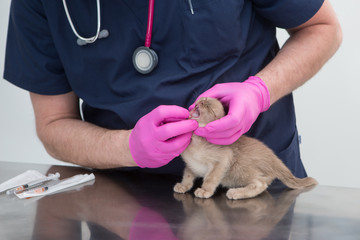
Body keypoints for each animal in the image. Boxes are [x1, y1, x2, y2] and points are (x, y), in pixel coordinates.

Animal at [174, 96, 318, 200]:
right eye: (203, 99)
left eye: (210, 108)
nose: (201, 102)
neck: (196, 142)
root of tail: (273, 159)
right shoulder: (191, 164)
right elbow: (187, 175)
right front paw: (183, 186)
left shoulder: (223, 159)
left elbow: (211, 178)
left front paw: (205, 190)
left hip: (240, 169)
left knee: (260, 184)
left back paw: (236, 193)